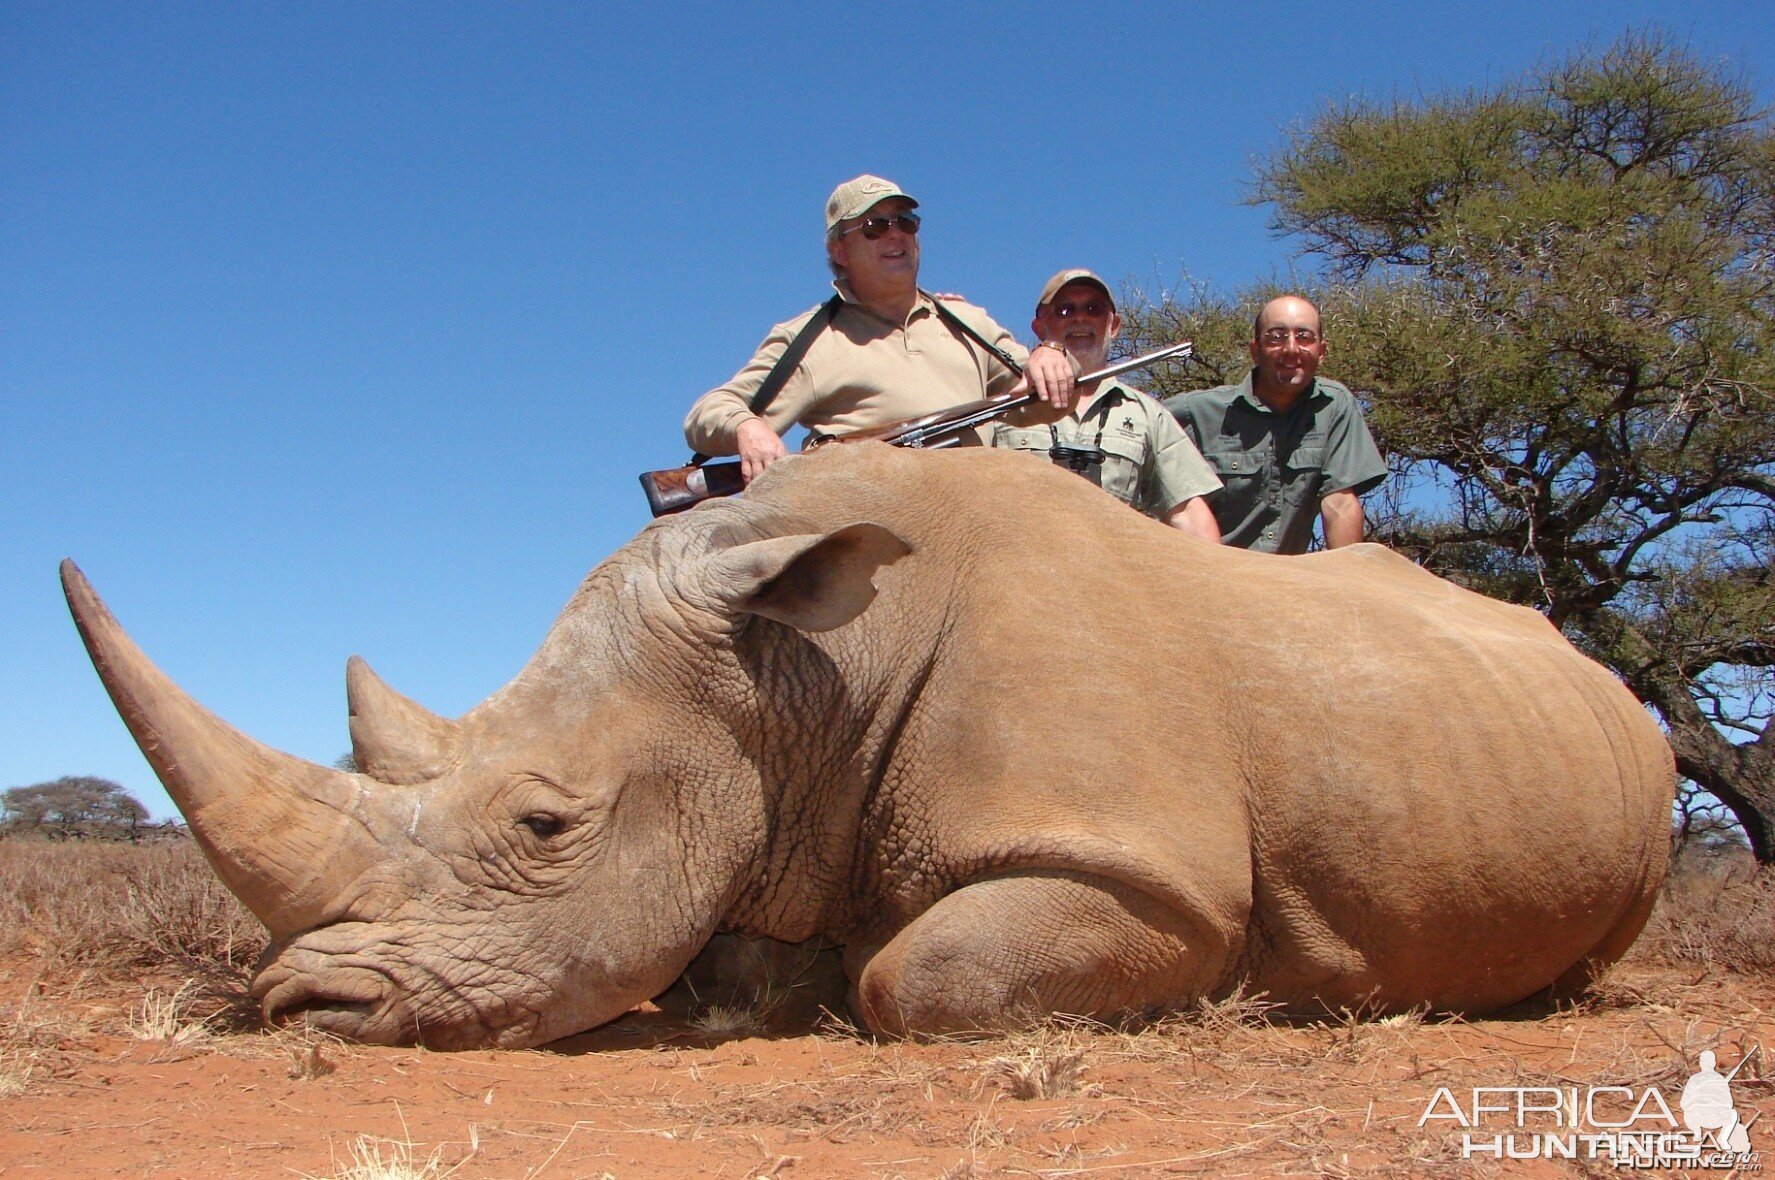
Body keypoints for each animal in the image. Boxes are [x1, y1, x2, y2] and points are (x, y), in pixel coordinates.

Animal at [65, 443, 1675, 1050]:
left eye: (542, 827)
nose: (304, 1008)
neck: (795, 664)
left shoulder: (1146, 873)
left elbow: (926, 975)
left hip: (1633, 771)